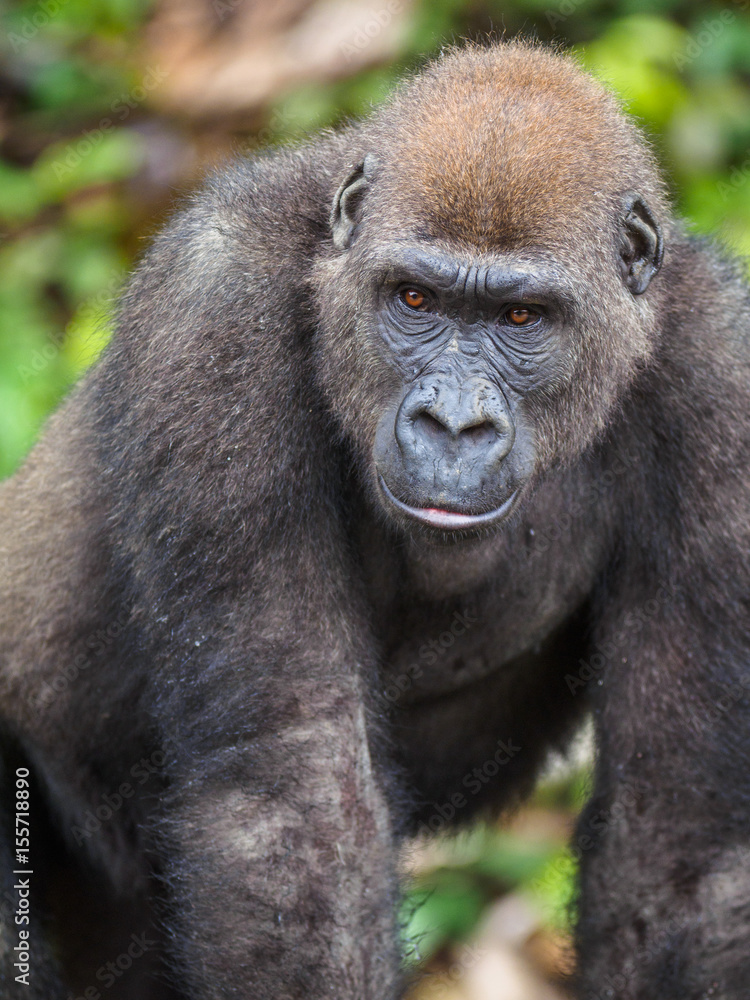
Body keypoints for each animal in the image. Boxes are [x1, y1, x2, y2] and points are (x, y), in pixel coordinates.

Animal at [0, 37, 749, 1000]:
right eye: (415, 301)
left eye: (523, 316)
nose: (454, 425)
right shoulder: (214, 298)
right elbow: (293, 803)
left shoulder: (724, 364)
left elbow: (678, 843)